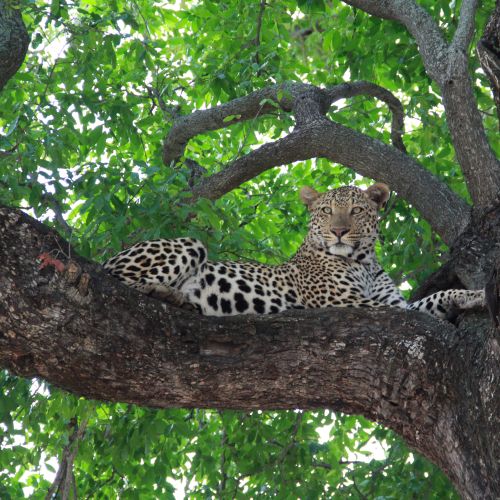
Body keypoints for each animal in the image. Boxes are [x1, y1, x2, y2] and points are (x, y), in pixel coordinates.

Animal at [104, 184, 484, 320]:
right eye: (327, 211)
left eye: (356, 211)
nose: (339, 231)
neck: (362, 261)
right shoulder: (346, 303)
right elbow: (412, 314)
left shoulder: (396, 304)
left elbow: (431, 301)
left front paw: (474, 296)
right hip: (189, 244)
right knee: (119, 278)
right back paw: (168, 293)